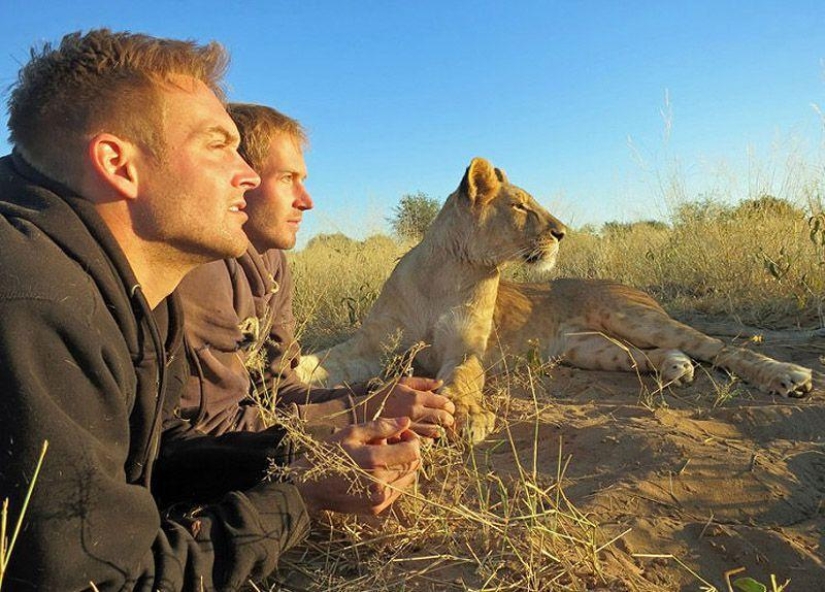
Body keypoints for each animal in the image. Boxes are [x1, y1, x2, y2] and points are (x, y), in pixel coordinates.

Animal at [297, 157, 814, 442]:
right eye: (521, 205)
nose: (562, 232)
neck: (447, 270)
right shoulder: (371, 347)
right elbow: (324, 361)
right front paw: (289, 370)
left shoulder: (465, 348)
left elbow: (461, 378)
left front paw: (468, 416)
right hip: (589, 347)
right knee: (649, 355)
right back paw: (675, 366)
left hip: (632, 315)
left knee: (721, 347)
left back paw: (787, 377)